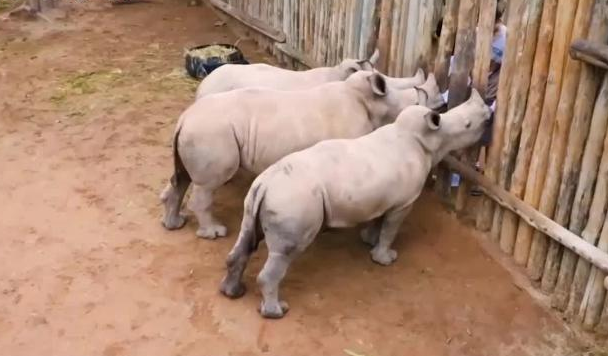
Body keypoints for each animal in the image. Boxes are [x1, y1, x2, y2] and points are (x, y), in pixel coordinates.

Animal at [159, 71, 444, 239]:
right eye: (412, 102)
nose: (437, 109)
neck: (369, 101)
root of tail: (184, 119)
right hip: (211, 133)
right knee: (208, 184)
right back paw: (215, 232)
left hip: (198, 132)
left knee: (182, 177)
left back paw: (174, 224)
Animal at [221, 89, 492, 318]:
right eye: (468, 125)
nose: (487, 114)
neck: (427, 139)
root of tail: (264, 185)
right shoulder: (404, 202)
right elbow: (390, 229)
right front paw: (386, 259)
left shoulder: (383, 196)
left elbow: (378, 221)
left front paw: (368, 241)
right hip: (293, 201)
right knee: (284, 253)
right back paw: (277, 312)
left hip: (261, 197)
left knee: (247, 237)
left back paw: (232, 293)